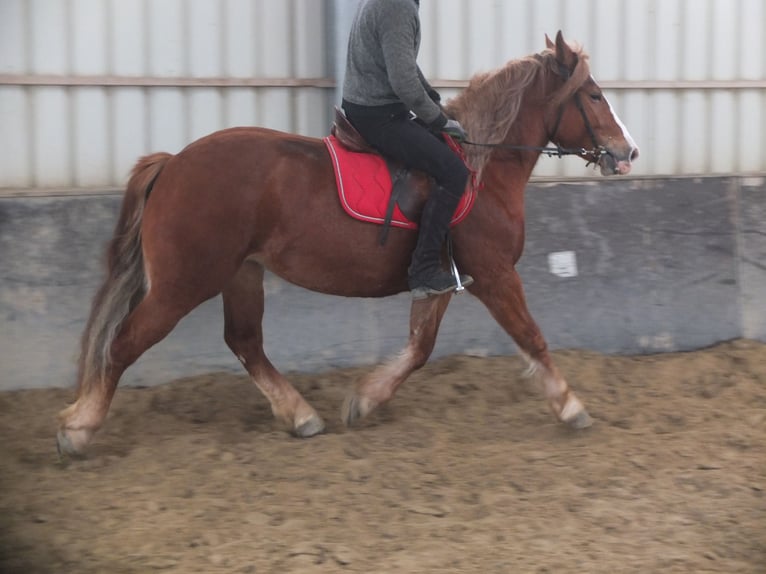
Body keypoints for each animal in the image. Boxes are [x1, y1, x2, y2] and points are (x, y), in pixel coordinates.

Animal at [57, 33, 640, 456]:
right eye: (593, 95)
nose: (628, 151)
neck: (482, 167)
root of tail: (174, 162)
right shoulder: (496, 274)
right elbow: (532, 337)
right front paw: (570, 407)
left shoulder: (442, 281)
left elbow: (420, 348)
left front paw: (363, 401)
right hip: (184, 283)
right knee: (124, 343)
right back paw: (78, 428)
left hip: (242, 272)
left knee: (244, 342)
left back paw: (300, 416)